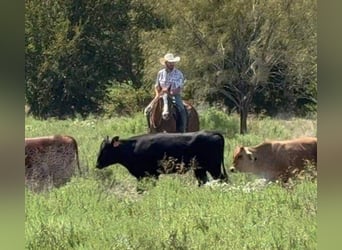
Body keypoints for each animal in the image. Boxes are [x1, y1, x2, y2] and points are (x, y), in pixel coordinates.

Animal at [95, 131, 228, 186]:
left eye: (105, 150)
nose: (97, 164)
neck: (132, 148)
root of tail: (213, 133)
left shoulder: (149, 174)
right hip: (200, 168)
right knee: (203, 181)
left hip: (213, 167)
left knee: (222, 179)